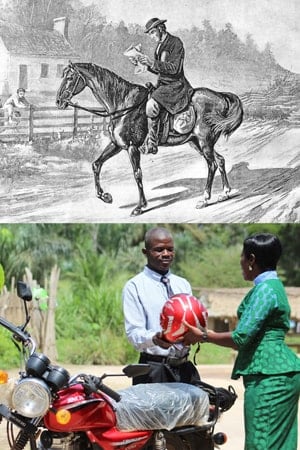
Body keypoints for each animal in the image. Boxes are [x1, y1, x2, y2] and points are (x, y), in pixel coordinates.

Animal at [56, 61, 244, 216]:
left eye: (70, 77)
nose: (58, 102)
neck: (123, 104)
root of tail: (220, 97)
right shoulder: (116, 144)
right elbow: (96, 164)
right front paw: (105, 196)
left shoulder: (132, 147)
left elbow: (137, 174)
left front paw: (140, 207)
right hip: (196, 143)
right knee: (220, 160)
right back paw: (225, 193)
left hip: (204, 142)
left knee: (212, 164)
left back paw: (205, 199)